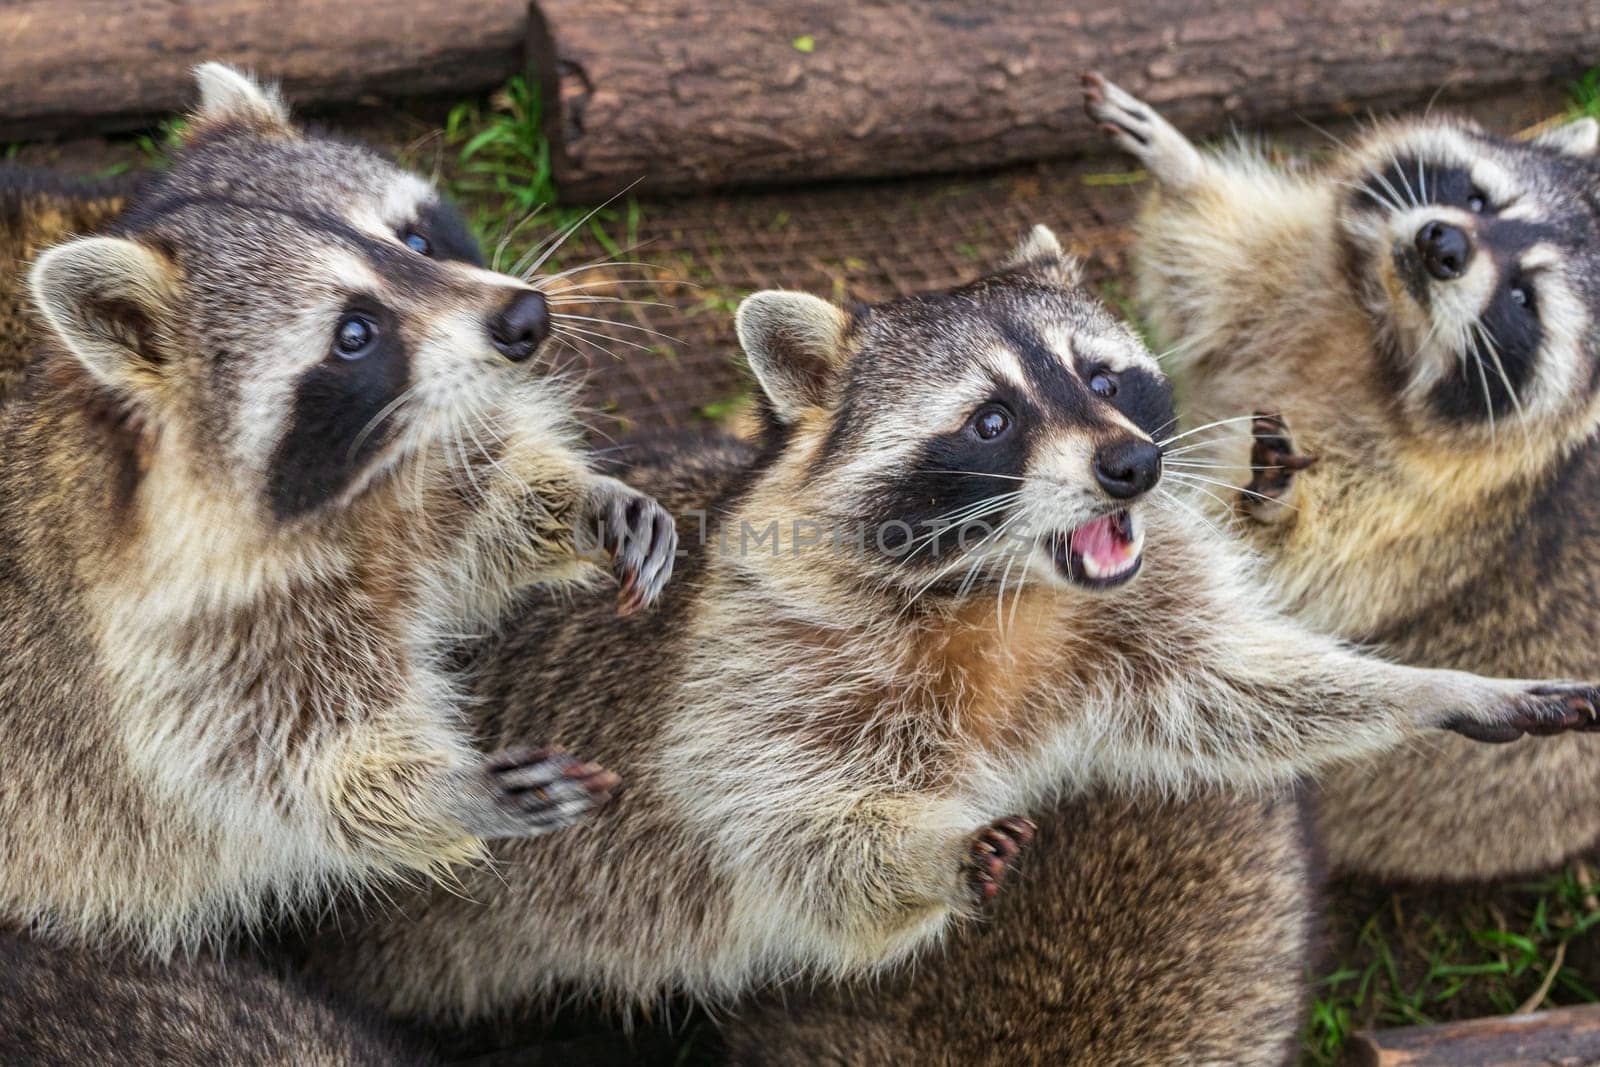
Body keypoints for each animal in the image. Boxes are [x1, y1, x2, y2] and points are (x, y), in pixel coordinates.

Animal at [300, 225, 1600, 1023]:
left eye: (1102, 377)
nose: (1130, 467)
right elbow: (782, 832)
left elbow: (1235, 689)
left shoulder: (1135, 615)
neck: (1009, 587)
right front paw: (928, 851)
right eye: (989, 420)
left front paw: (1434, 689)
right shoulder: (755, 665)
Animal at [1088, 70, 1600, 883]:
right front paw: (1182, 166)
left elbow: (1281, 579)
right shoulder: (1303, 286)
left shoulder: (1432, 515)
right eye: (1482, 199)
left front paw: (1271, 508)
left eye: (1524, 297)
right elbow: (1216, 267)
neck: (1386, 336)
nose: (1442, 242)